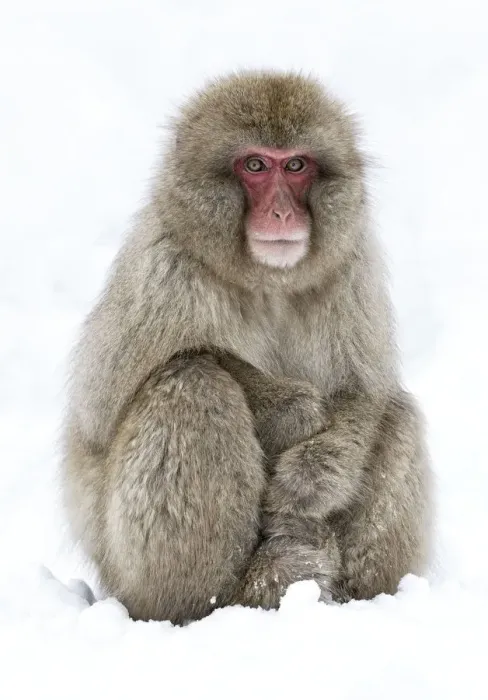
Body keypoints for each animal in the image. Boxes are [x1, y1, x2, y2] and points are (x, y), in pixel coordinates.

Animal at [62, 71, 432, 624]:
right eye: (255, 166)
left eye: (296, 165)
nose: (280, 211)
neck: (266, 282)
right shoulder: (161, 270)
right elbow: (100, 410)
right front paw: (290, 407)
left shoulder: (351, 266)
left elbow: (363, 392)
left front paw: (314, 476)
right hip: (128, 574)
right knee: (192, 382)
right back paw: (236, 594)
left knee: (397, 412)